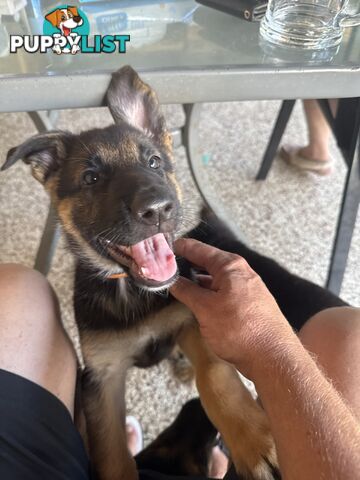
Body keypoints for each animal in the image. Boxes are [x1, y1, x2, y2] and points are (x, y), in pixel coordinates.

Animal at [2, 64, 346, 480]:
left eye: (153, 162)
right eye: (90, 178)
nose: (157, 209)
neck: (133, 291)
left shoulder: (192, 321)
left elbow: (215, 375)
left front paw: (254, 439)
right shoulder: (103, 377)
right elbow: (113, 456)